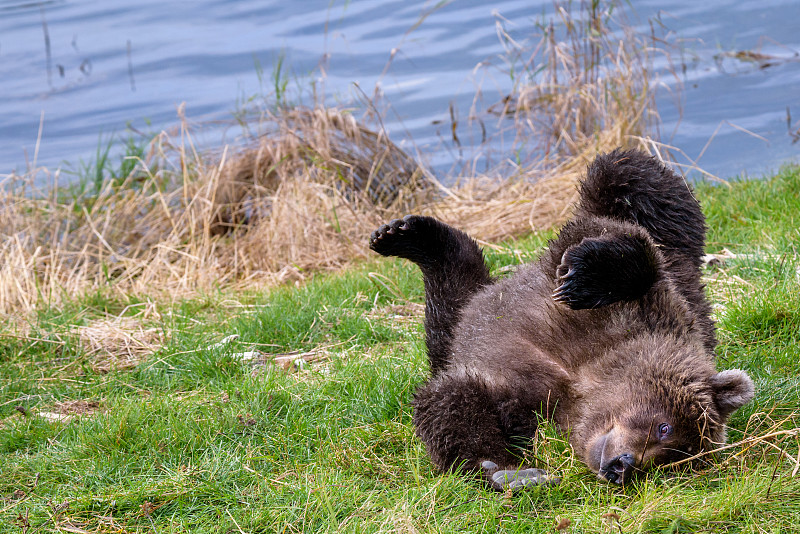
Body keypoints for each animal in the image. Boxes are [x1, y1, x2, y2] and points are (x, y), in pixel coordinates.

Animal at [370, 149, 756, 492]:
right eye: (665, 427)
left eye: (673, 457)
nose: (624, 465)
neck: (589, 374)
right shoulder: (646, 304)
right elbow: (631, 248)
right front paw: (584, 277)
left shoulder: (537, 409)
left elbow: (452, 401)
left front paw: (513, 472)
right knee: (631, 176)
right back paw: (401, 234)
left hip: (454, 329)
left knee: (452, 290)